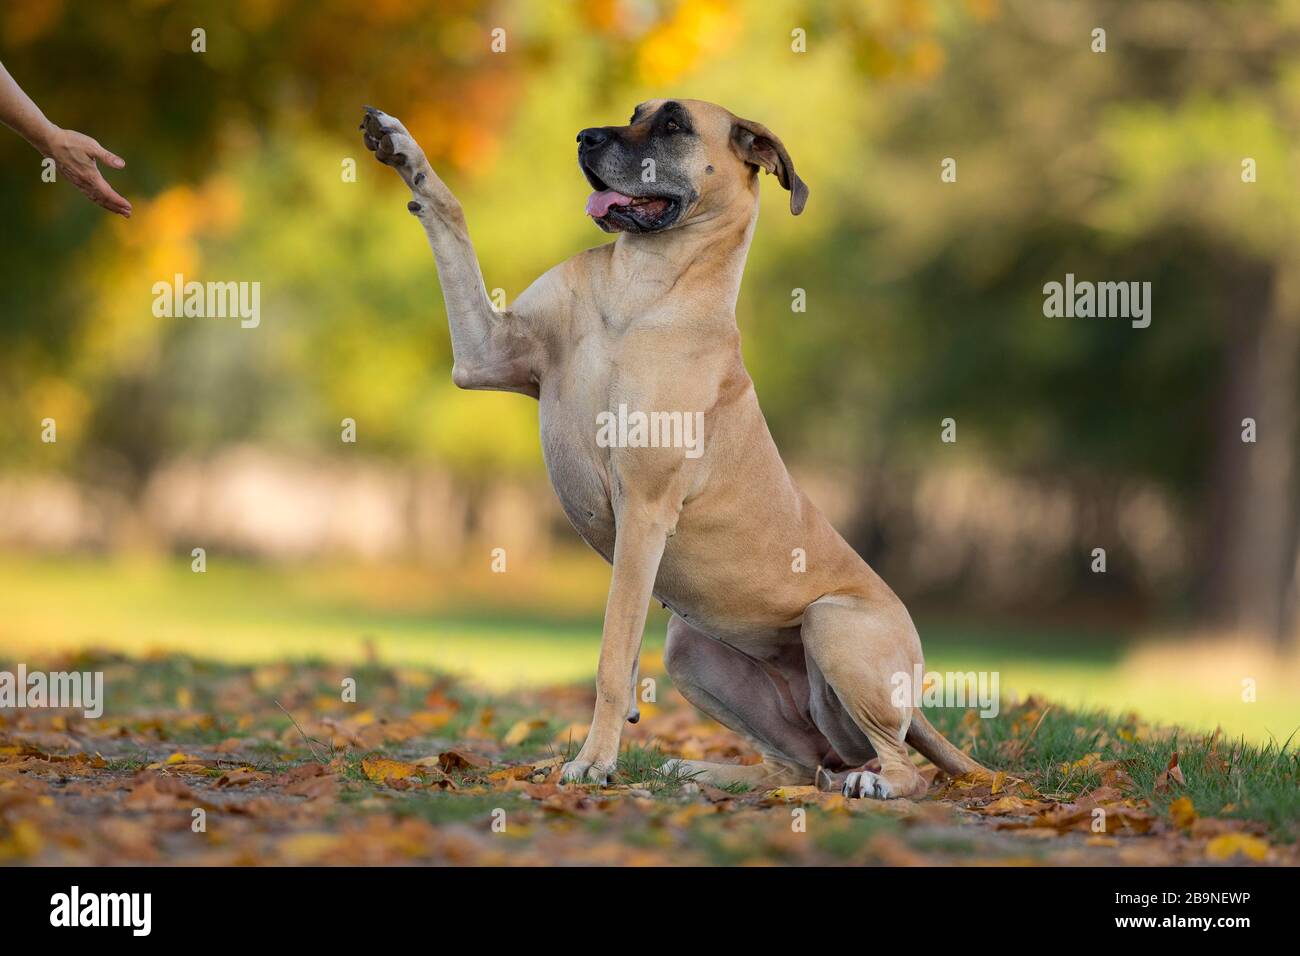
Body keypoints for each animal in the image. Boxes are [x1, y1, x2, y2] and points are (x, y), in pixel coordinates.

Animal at [361, 98, 977, 801]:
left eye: (674, 125)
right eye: (636, 111)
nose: (584, 137)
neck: (643, 285)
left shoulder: (644, 511)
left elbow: (612, 657)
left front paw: (593, 763)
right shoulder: (485, 354)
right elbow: (452, 217)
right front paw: (402, 148)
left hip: (833, 624)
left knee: (899, 767)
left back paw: (873, 784)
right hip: (692, 646)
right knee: (799, 766)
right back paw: (693, 771)